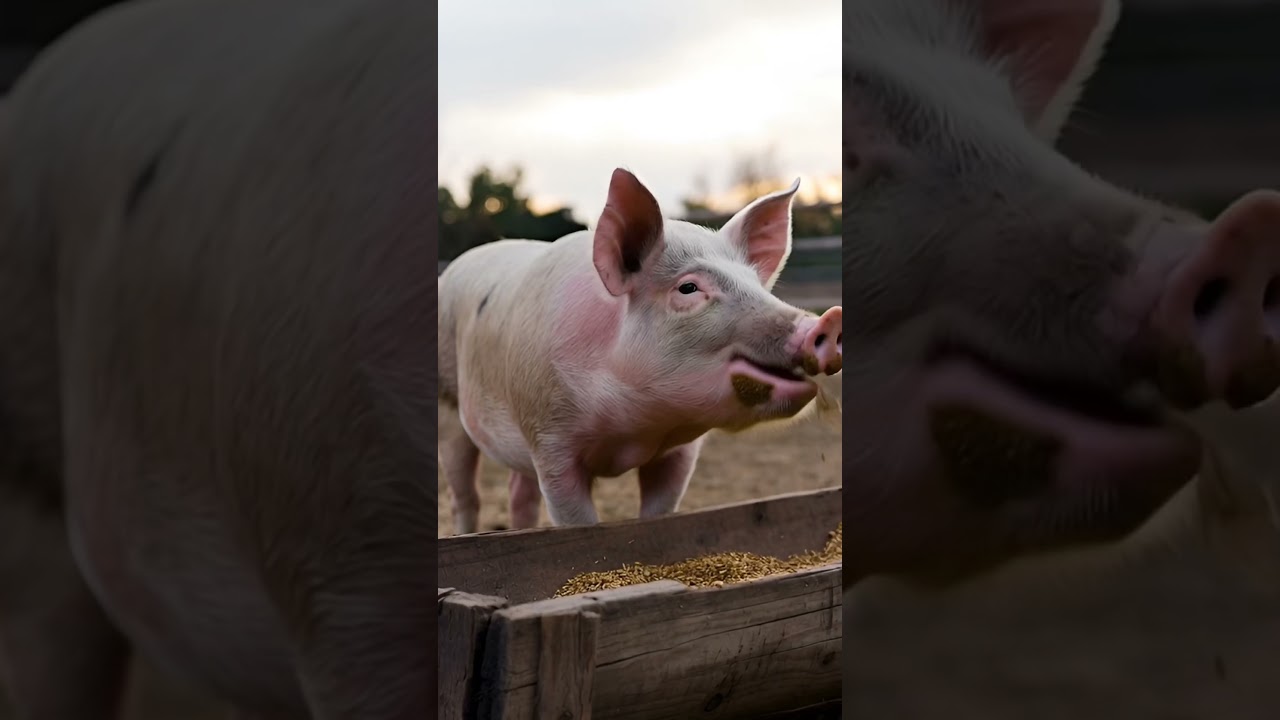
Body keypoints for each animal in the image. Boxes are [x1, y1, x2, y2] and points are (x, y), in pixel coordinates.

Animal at [438, 170, 844, 533]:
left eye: (757, 285)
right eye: (688, 288)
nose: (826, 321)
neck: (634, 429)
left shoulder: (680, 453)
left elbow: (659, 510)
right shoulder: (548, 440)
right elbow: (574, 519)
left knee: (519, 493)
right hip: (450, 407)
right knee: (465, 493)